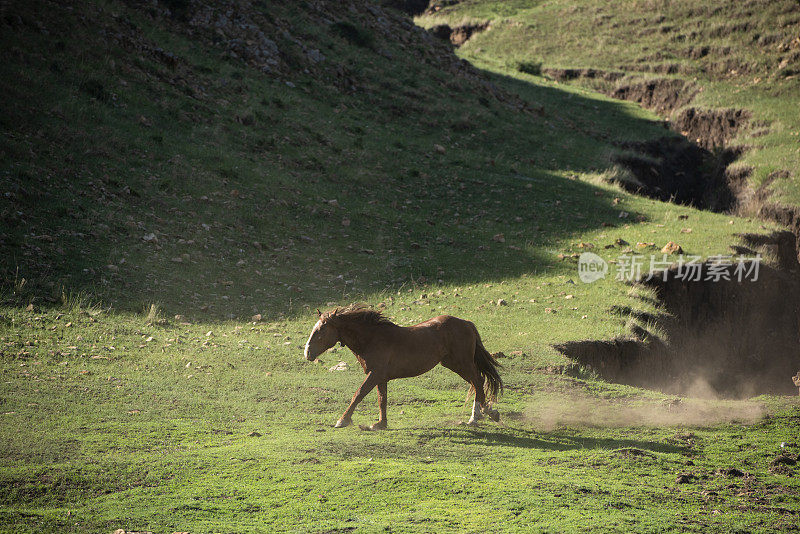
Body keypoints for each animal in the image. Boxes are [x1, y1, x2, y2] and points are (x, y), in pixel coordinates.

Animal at [304, 306, 504, 432]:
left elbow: (359, 394)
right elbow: (382, 399)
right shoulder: (381, 377)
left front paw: (343, 420)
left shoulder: (374, 374)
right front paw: (380, 424)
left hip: (461, 363)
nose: (307, 353)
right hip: (454, 364)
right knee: (477, 382)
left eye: (321, 331)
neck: (372, 338)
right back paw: (485, 413)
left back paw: (479, 416)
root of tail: (467, 323)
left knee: (478, 381)